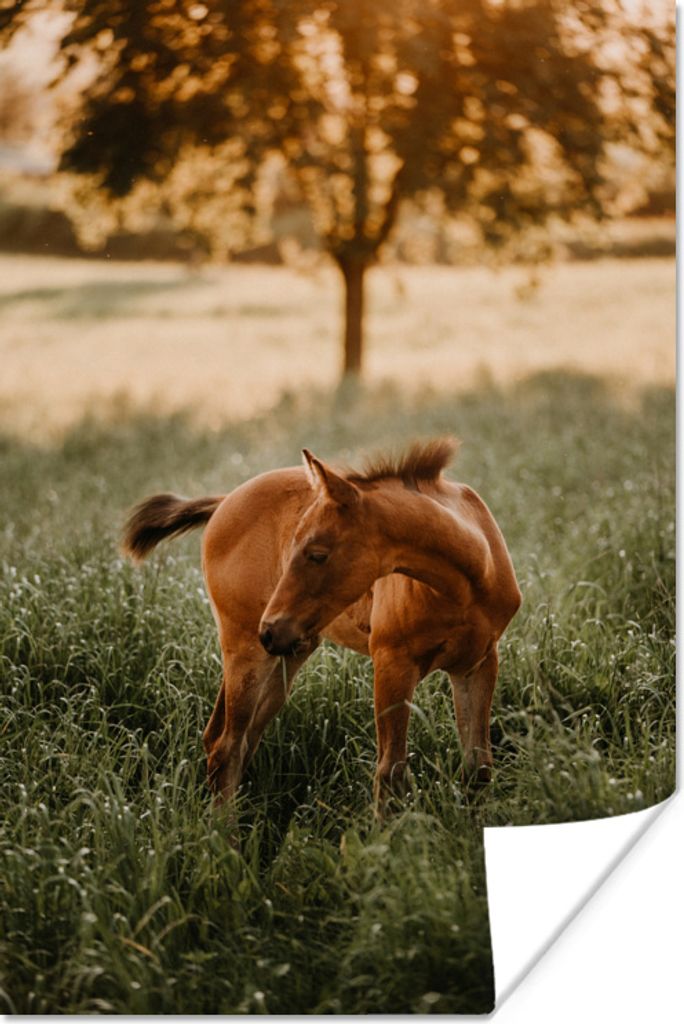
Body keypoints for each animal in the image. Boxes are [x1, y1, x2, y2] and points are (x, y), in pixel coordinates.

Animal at [122, 438, 521, 812]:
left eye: (317, 554)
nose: (269, 629)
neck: (467, 582)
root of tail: (224, 501)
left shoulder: (477, 664)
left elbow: (478, 767)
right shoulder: (392, 665)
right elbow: (390, 772)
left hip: (288, 655)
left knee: (235, 738)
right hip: (247, 650)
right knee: (226, 745)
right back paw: (225, 837)